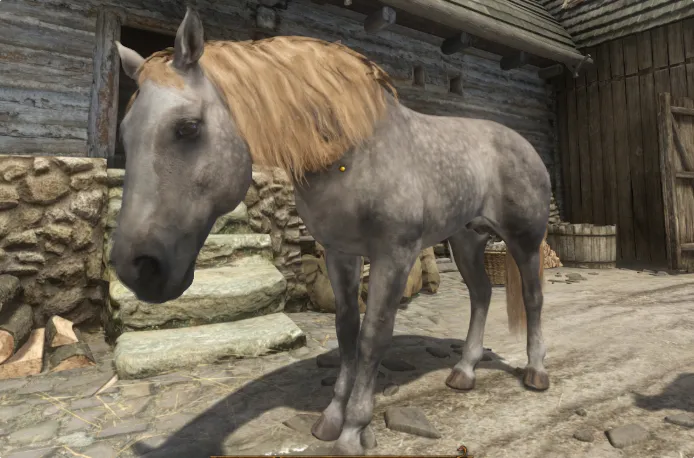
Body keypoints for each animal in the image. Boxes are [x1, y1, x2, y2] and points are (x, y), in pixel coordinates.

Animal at [111, 8, 551, 455]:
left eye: (187, 128)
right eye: (125, 133)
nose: (136, 267)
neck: (350, 153)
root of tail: (523, 144)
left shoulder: (395, 255)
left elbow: (374, 334)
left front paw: (354, 430)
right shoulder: (340, 252)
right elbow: (346, 330)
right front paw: (332, 418)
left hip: (525, 241)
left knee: (532, 298)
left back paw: (536, 372)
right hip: (465, 239)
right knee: (481, 294)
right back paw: (464, 371)